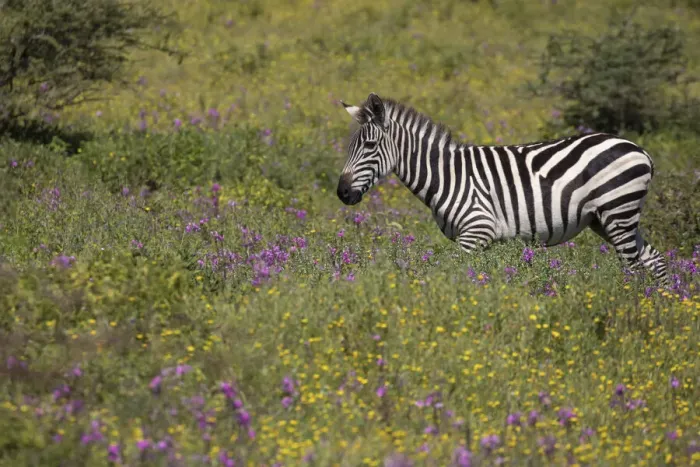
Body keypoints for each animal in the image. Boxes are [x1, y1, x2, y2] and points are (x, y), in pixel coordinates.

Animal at [336, 92, 668, 285]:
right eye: (350, 146)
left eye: (369, 145)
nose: (342, 193)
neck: (447, 175)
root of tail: (640, 149)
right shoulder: (480, 239)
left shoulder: (476, 230)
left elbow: (452, 273)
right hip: (608, 219)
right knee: (655, 260)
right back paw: (663, 308)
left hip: (617, 211)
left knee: (634, 269)